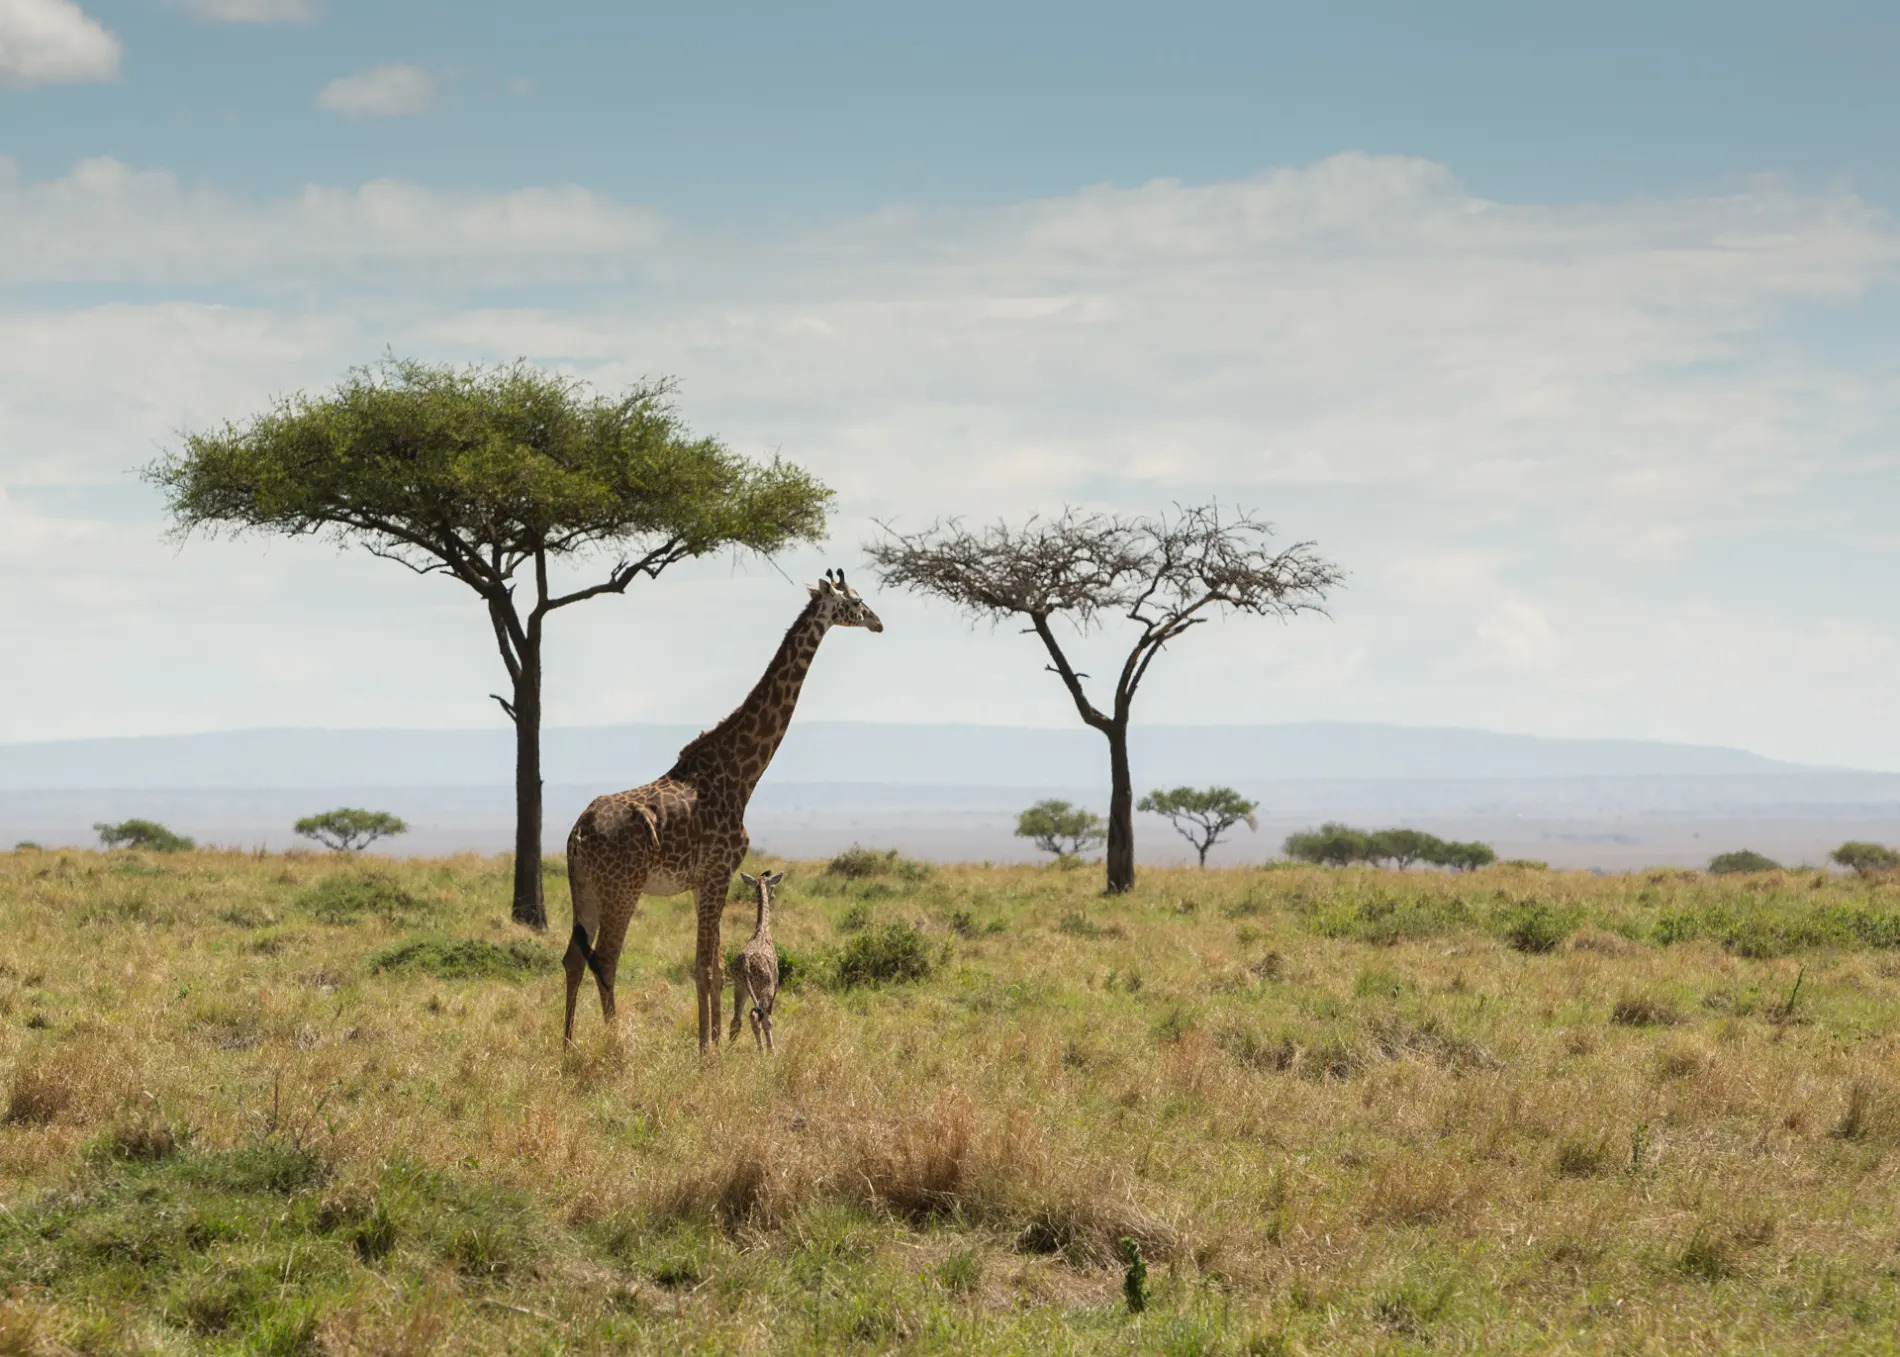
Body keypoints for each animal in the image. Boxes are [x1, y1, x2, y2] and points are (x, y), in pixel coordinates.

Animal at [729, 870, 782, 1049]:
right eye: (773, 886)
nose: (773, 896)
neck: (762, 931)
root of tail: (745, 964)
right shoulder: (774, 985)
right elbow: (767, 1019)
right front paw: (770, 1050)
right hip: (762, 990)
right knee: (760, 1018)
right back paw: (767, 1051)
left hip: (740, 987)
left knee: (736, 1020)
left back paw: (728, 1050)